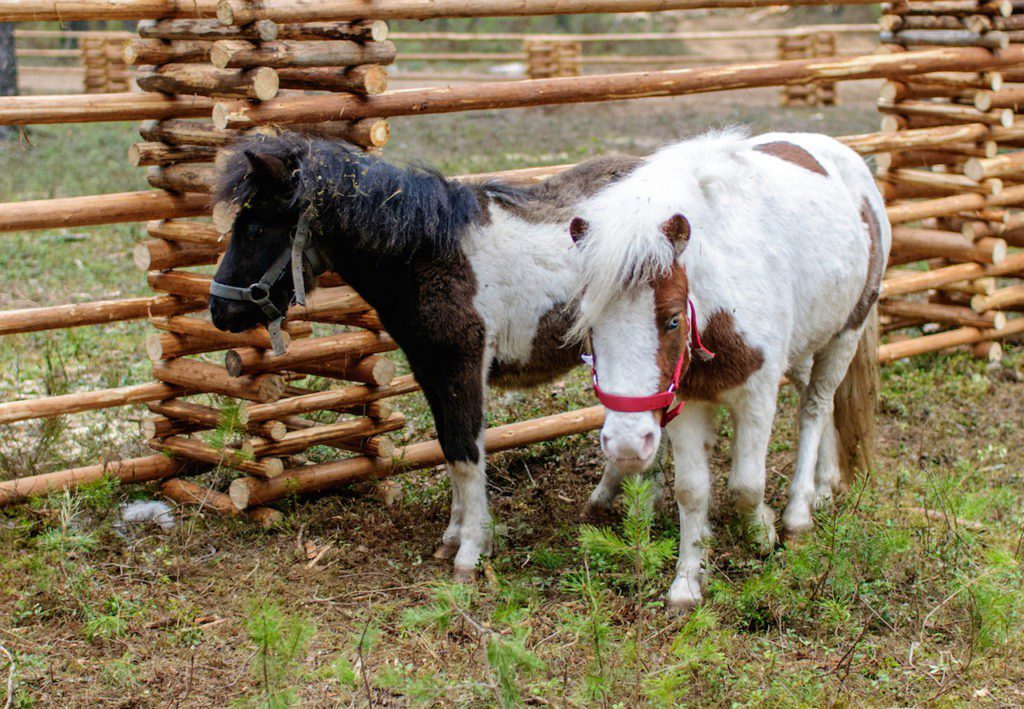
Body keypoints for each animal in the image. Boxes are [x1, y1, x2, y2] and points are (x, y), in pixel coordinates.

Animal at [207, 134, 638, 581]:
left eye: (255, 228)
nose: (219, 310)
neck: (430, 255)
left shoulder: (460, 368)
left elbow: (466, 454)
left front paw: (470, 553)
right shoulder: (430, 371)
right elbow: (449, 451)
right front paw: (451, 539)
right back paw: (604, 502)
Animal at [569, 128, 888, 610]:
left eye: (672, 320)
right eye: (590, 325)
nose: (626, 445)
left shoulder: (757, 394)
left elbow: (746, 484)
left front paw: (763, 532)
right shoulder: (686, 400)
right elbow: (692, 490)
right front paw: (687, 581)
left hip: (845, 334)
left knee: (815, 408)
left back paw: (799, 511)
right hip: (806, 344)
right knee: (824, 404)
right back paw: (826, 484)